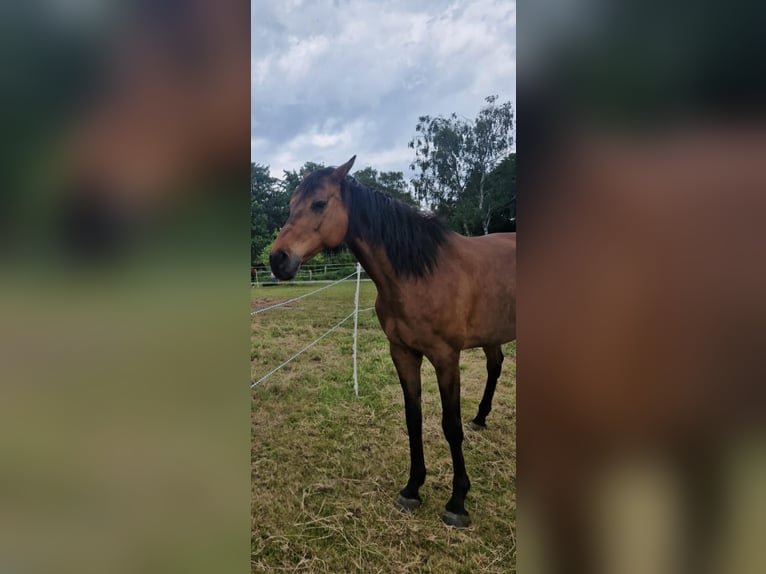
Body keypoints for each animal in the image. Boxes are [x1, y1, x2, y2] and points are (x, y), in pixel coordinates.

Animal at [269, 156, 516, 527]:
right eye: (290, 206)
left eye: (319, 203)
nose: (277, 259)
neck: (419, 273)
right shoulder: (403, 353)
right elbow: (413, 419)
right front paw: (412, 489)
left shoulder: (446, 357)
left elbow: (450, 425)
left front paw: (457, 502)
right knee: (495, 366)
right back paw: (481, 418)